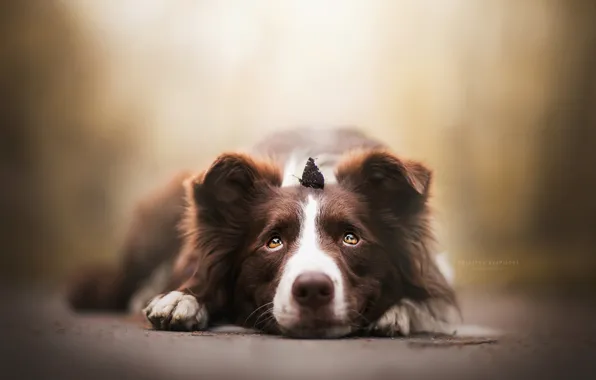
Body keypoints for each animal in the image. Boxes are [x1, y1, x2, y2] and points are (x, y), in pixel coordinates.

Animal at [68, 127, 460, 338]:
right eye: (273, 242)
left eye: (352, 238)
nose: (313, 289)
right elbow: (198, 277)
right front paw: (183, 298)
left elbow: (428, 301)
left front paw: (397, 311)